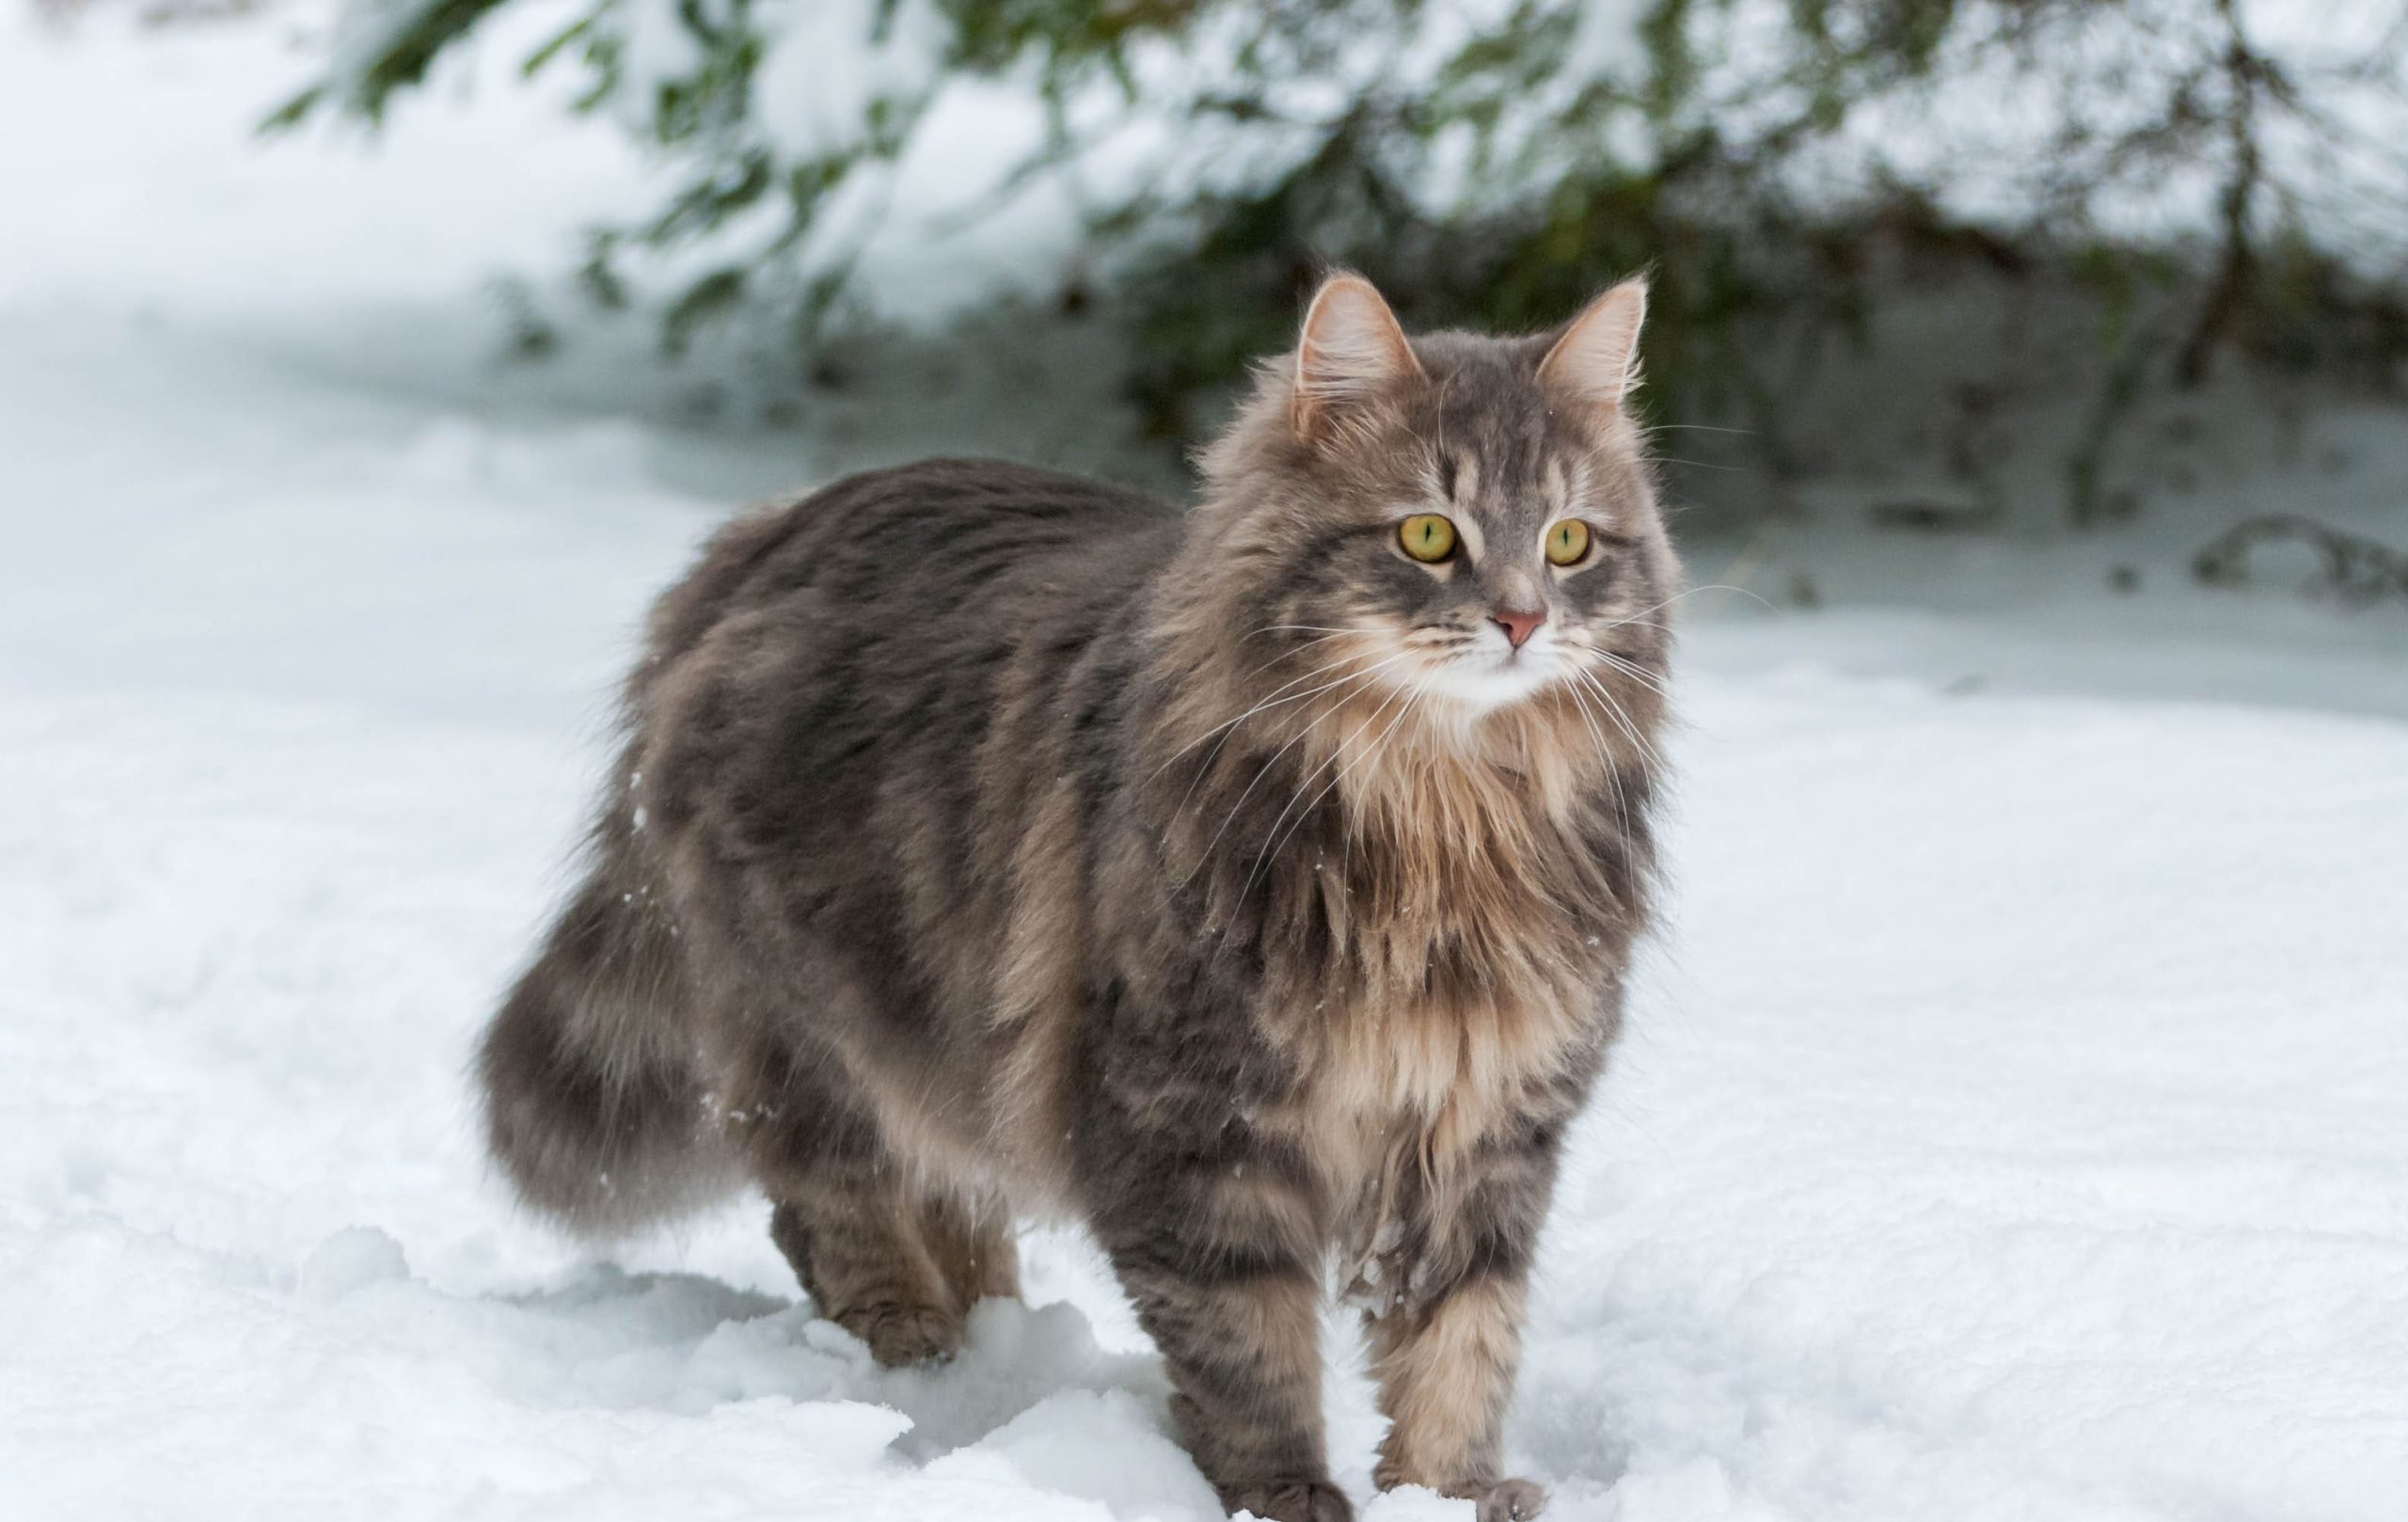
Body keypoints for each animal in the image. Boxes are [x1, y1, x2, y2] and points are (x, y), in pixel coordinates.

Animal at [482, 273, 1686, 1522]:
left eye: (1568, 542)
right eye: (1429, 535)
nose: (1522, 619)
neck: (1442, 816)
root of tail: (755, 541)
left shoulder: (1485, 1127)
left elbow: (1461, 1336)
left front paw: (1451, 1492)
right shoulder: (1194, 1130)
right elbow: (1248, 1346)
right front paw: (1285, 1493)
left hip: (944, 1032)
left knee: (952, 1193)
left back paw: (990, 1339)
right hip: (813, 1020)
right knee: (834, 1199)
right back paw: (915, 1347)